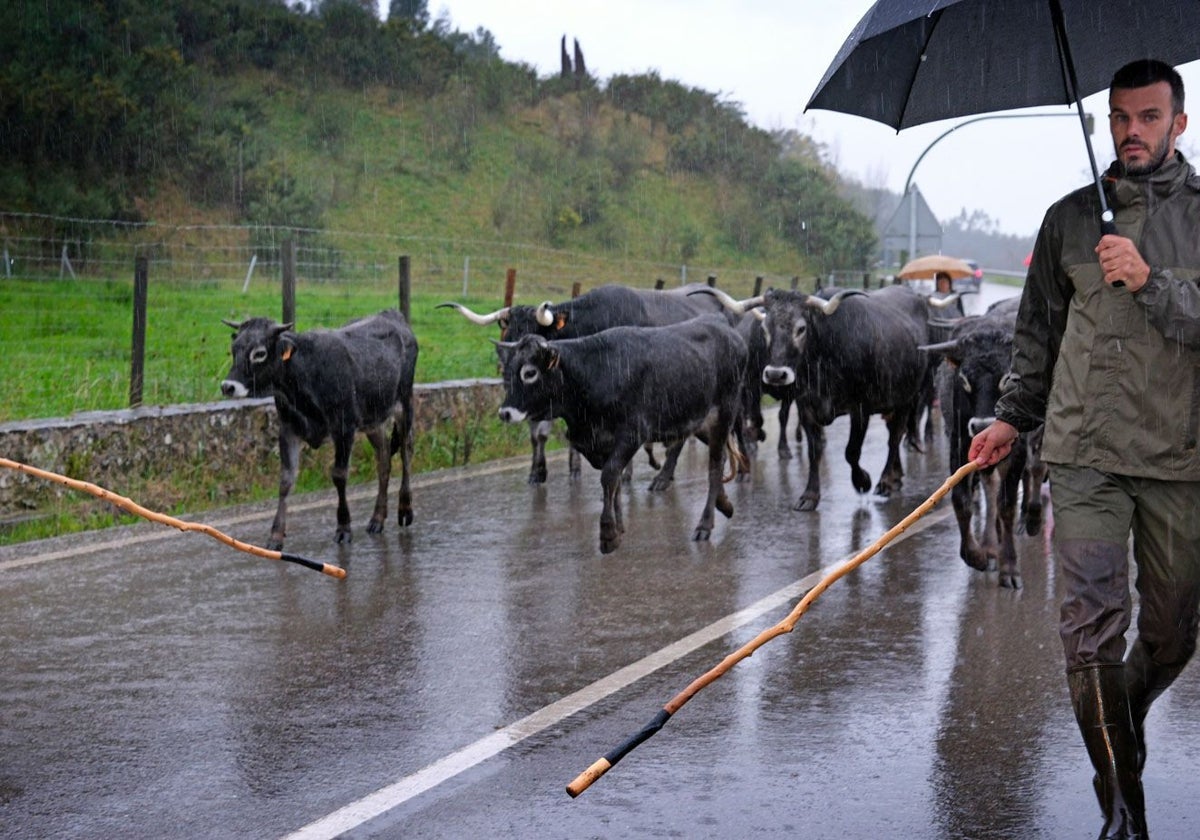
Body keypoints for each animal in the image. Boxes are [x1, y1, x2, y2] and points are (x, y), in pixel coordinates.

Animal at [494, 312, 739, 554]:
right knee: (721, 458)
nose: (504, 413)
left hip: (723, 414)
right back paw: (724, 503)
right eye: (508, 371)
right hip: (699, 422)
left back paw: (705, 524)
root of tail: (720, 323)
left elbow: (610, 476)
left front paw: (608, 534)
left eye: (530, 373)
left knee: (715, 466)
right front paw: (619, 527)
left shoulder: (631, 435)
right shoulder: (597, 443)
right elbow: (616, 484)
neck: (594, 372)